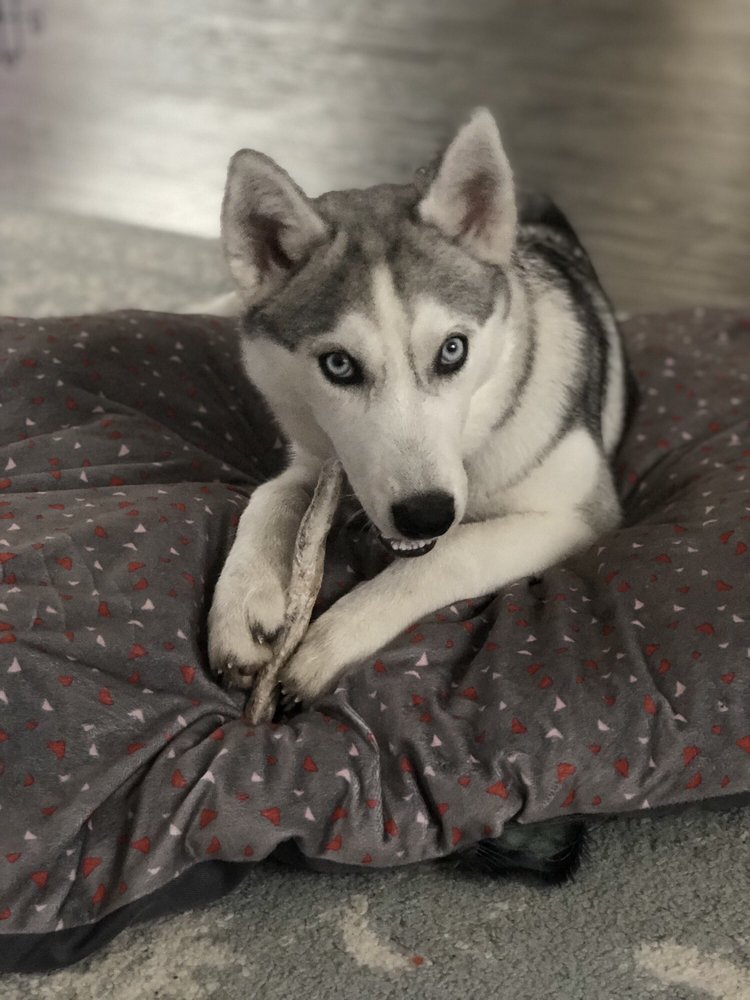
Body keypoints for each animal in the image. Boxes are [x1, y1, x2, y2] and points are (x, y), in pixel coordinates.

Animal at [207, 107, 633, 708]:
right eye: (338, 364)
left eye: (453, 349)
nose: (425, 512)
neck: (476, 439)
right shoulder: (317, 460)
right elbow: (269, 497)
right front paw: (244, 603)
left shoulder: (576, 517)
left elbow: (453, 552)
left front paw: (330, 643)